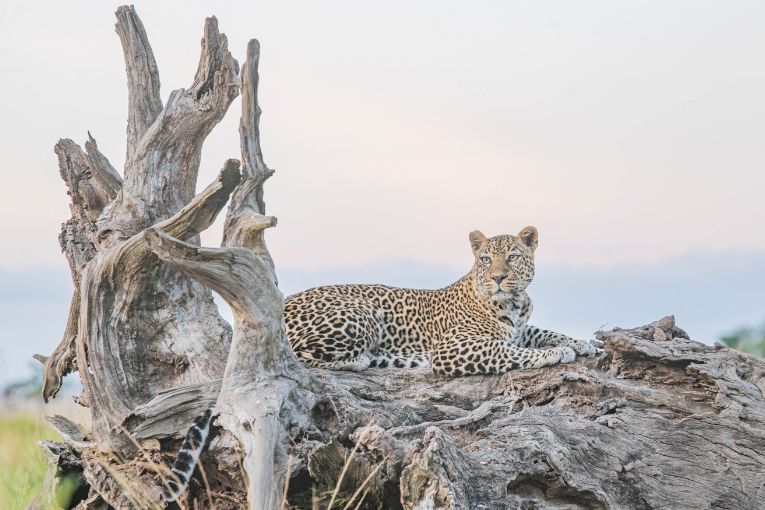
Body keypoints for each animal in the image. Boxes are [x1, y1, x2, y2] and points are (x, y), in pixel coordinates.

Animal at [284, 226, 600, 374]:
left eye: (512, 257)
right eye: (486, 259)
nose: (498, 278)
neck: (514, 302)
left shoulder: (521, 329)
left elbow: (546, 331)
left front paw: (584, 343)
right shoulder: (453, 346)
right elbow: (507, 350)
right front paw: (554, 353)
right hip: (364, 313)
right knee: (298, 356)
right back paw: (365, 358)